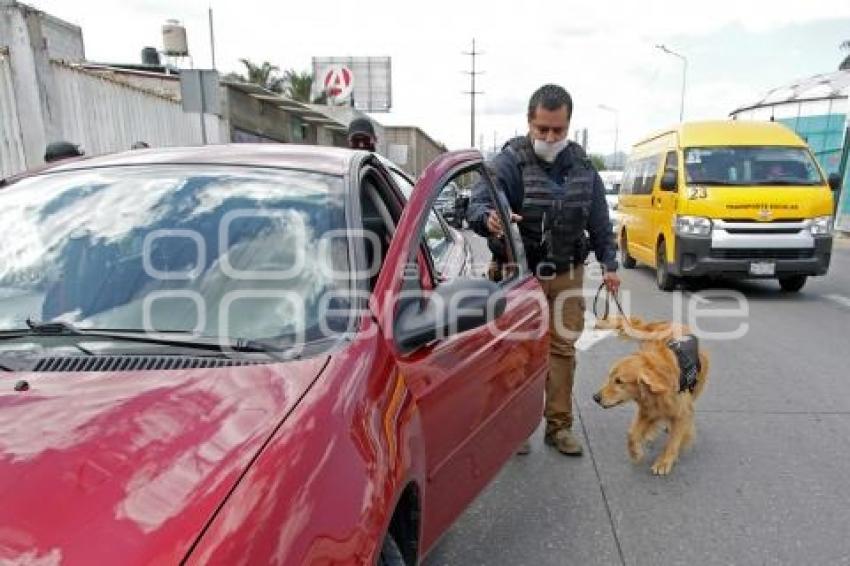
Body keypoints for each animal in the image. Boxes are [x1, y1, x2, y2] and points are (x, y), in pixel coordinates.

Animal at [592, 318, 704, 478]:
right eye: (610, 377)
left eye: (619, 381)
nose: (595, 397)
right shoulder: (647, 410)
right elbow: (631, 434)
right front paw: (635, 452)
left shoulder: (683, 413)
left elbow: (674, 441)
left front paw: (664, 461)